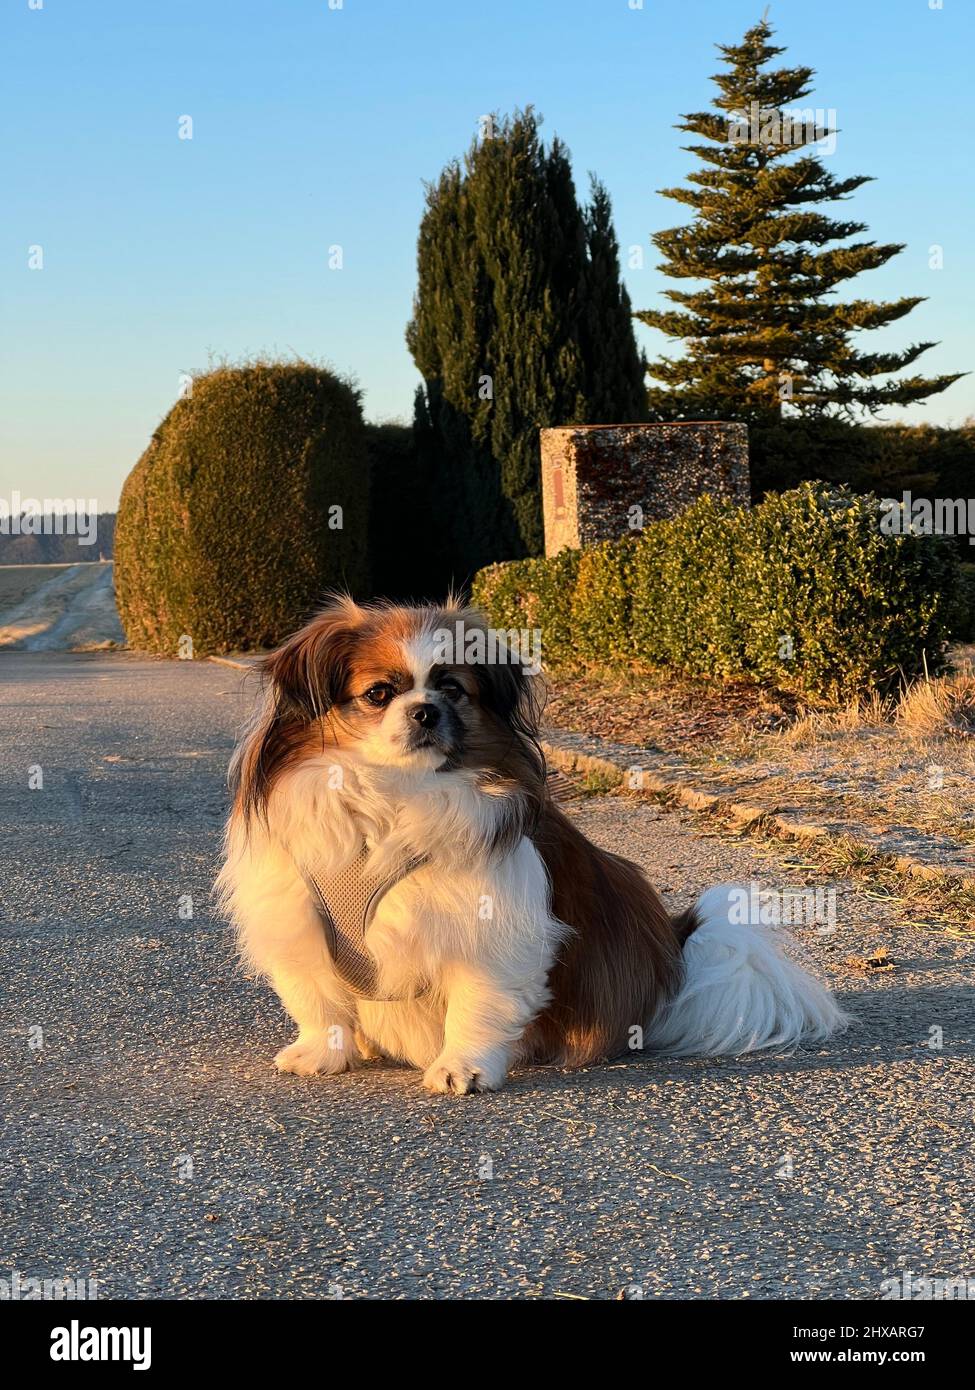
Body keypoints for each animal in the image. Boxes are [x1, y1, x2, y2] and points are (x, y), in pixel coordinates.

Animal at [214, 597, 845, 1095]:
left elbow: (479, 1001)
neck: (398, 797)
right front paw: (322, 1053)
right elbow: (317, 997)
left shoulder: (493, 924)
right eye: (378, 693)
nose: (425, 711)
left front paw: (462, 1069)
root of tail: (674, 950)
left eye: (452, 689)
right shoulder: (299, 915)